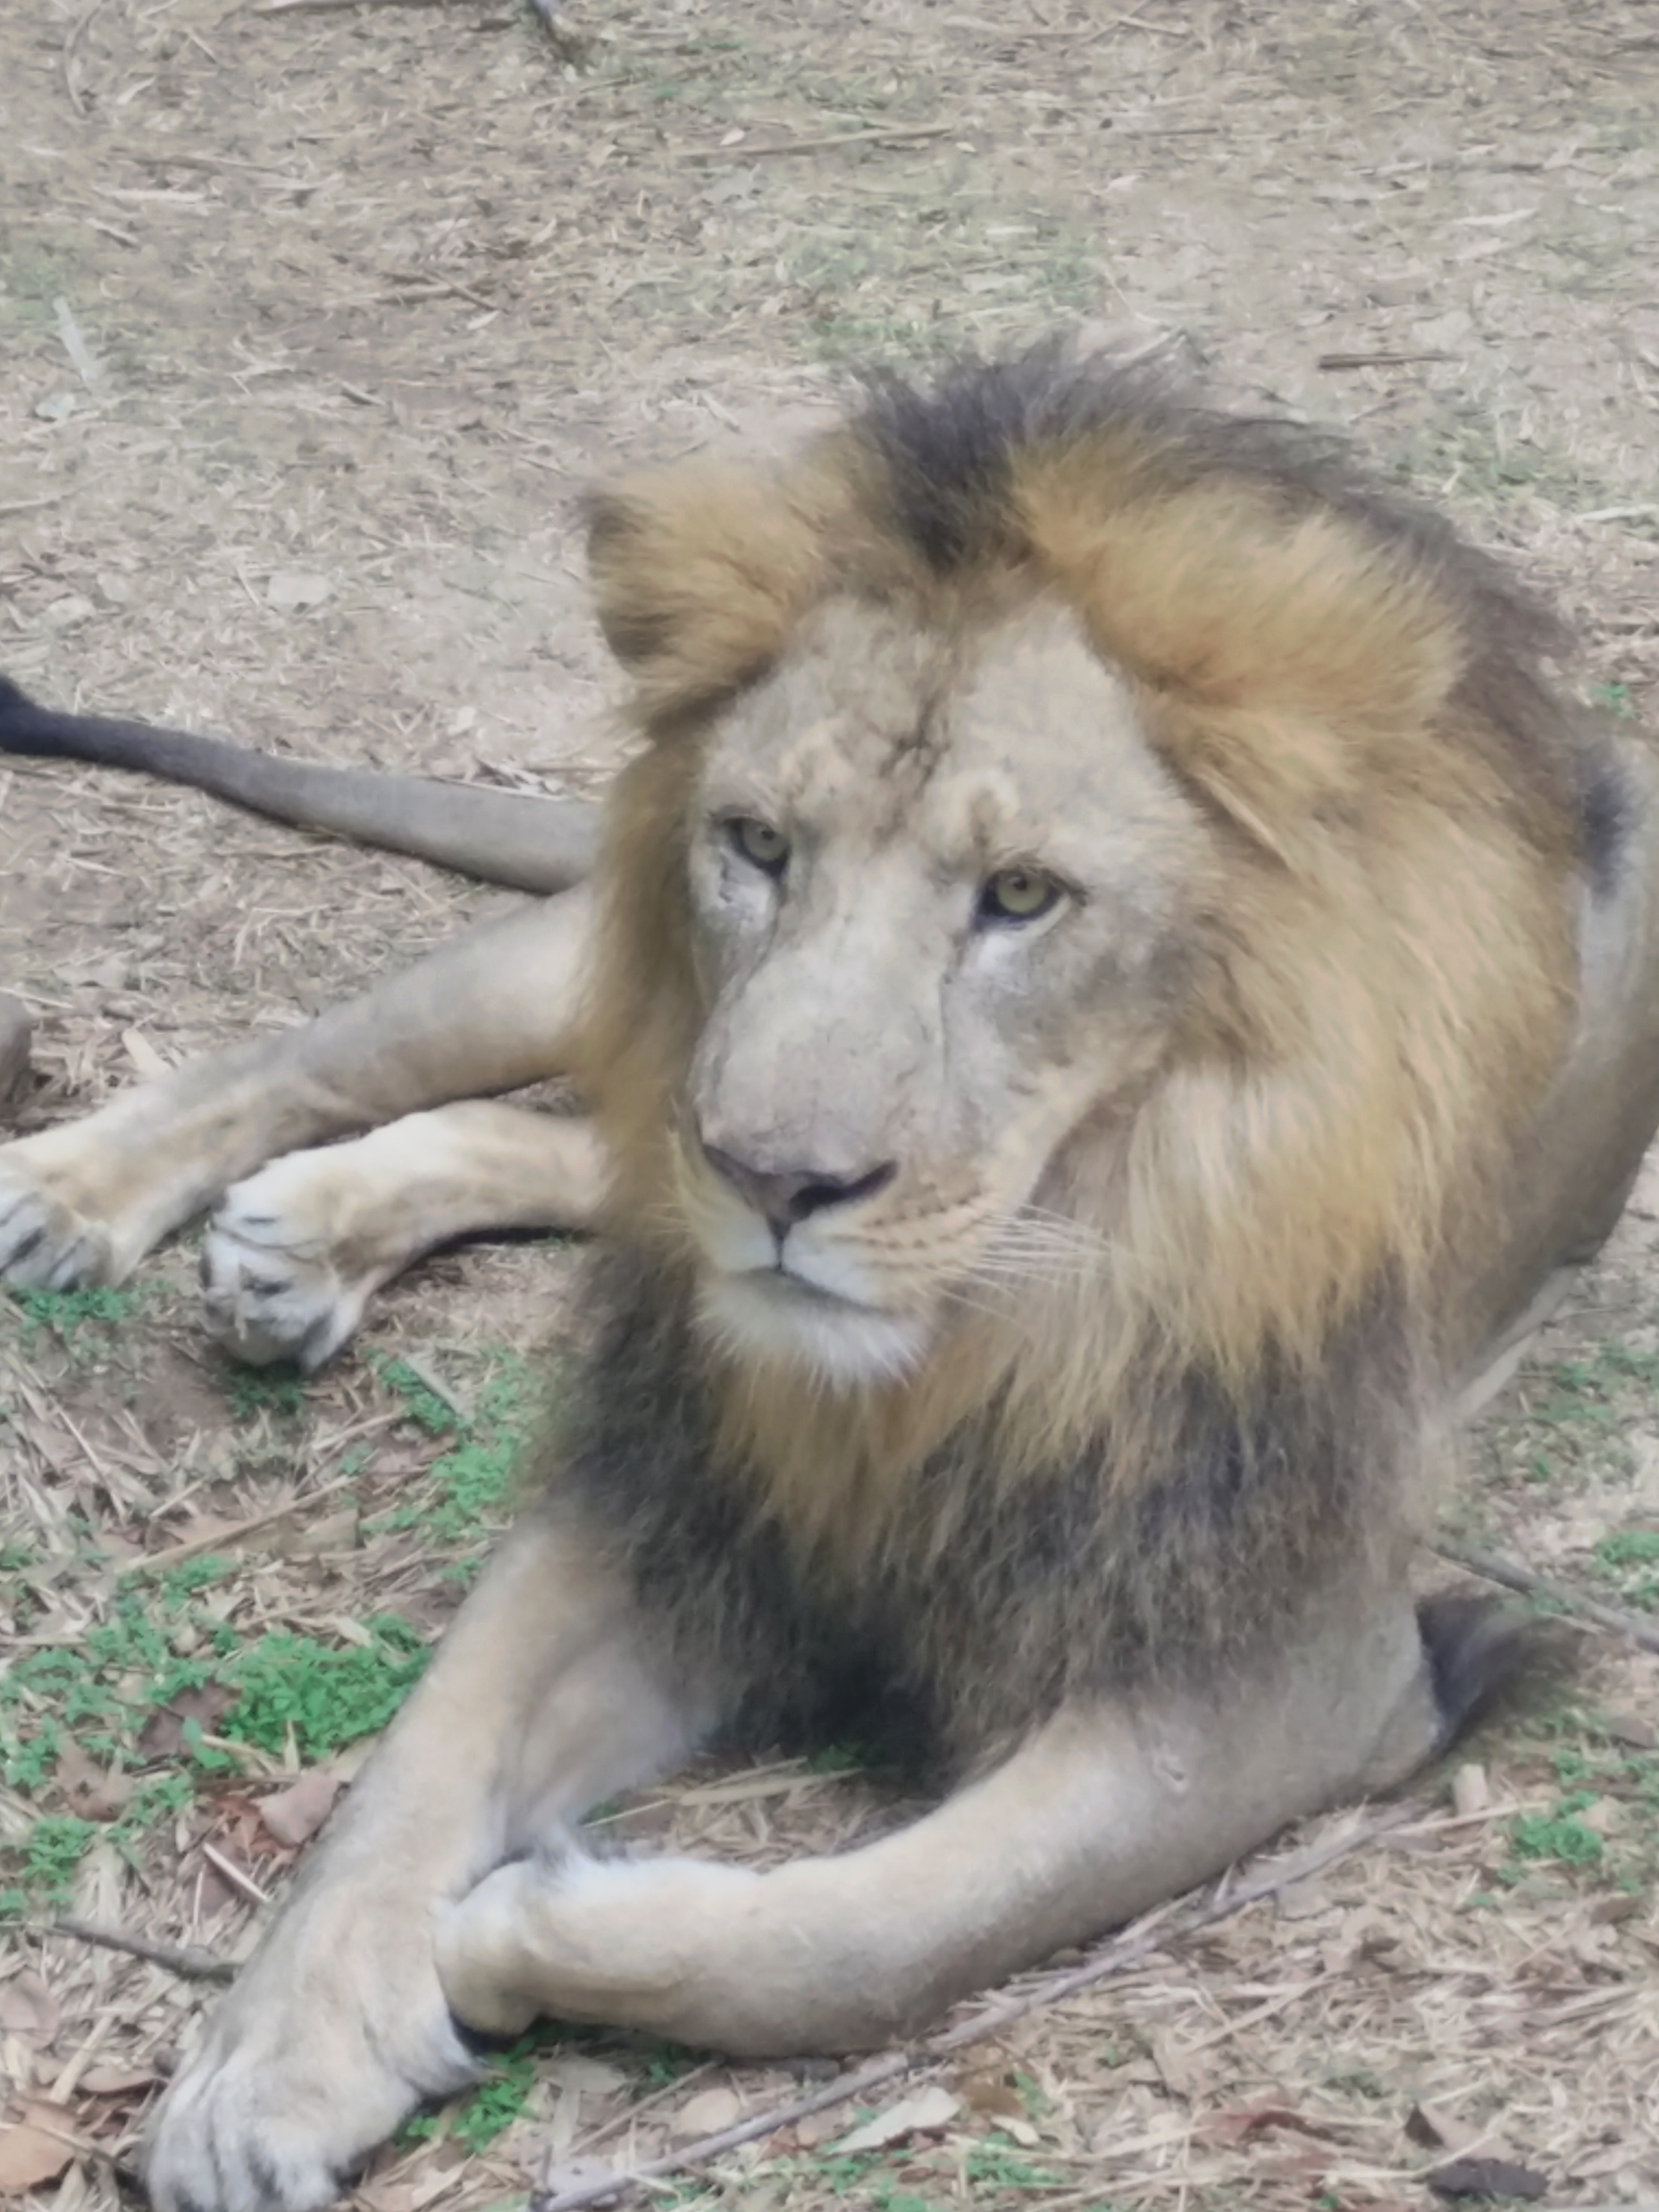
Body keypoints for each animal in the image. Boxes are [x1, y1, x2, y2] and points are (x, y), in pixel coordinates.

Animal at [10, 345, 1659, 2212]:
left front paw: (514, 1932)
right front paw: (265, 2064)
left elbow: (878, 1933)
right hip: (593, 972)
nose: (776, 1181)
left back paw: (308, 1244)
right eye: (756, 843)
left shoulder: (1298, 1672)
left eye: (1020, 895)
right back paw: (76, 1192)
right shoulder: (680, 1483)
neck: (984, 1322)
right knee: (350, 1060)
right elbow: (418, 1761)